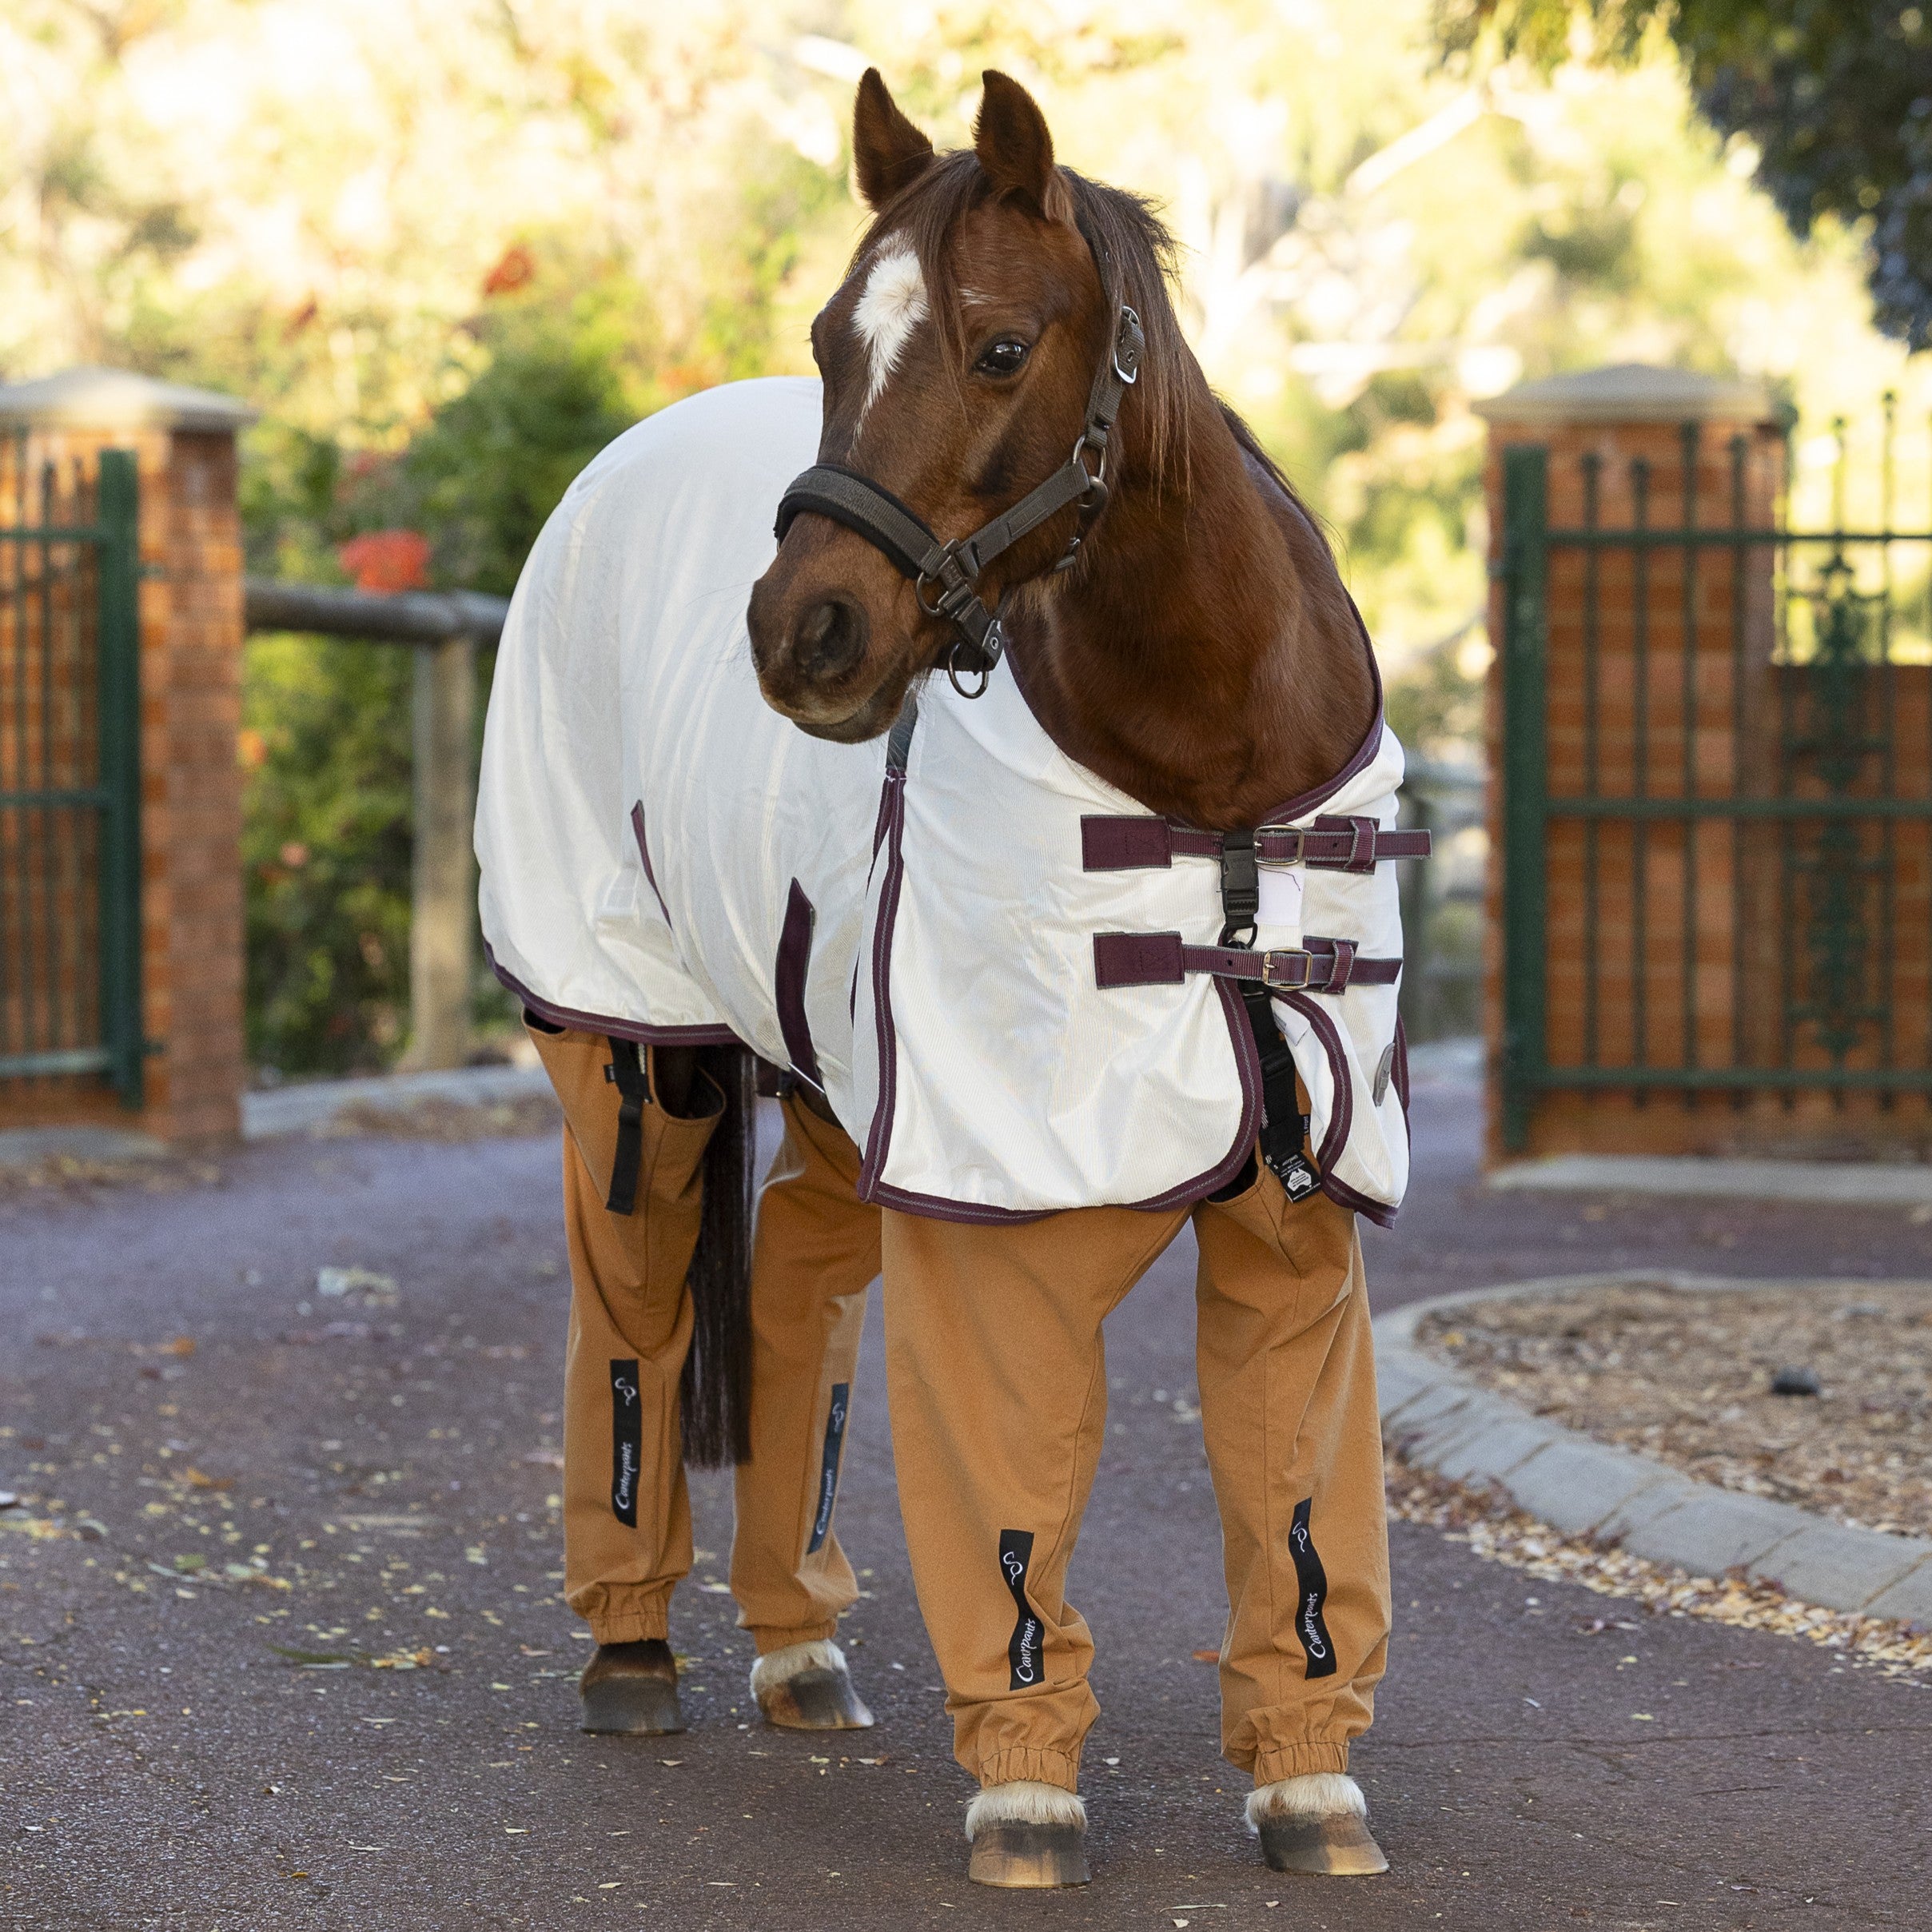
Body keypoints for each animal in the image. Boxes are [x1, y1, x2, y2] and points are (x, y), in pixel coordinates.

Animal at [477, 65, 1413, 1890]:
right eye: (833, 337)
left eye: (997, 344)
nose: (805, 635)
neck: (1213, 779)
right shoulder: (997, 1201)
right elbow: (1008, 1481)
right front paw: (1027, 1784)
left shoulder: (1297, 1199)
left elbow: (1298, 1492)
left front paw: (1309, 1781)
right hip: (637, 1051)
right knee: (635, 1297)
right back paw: (634, 1643)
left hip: (836, 1080)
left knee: (794, 1294)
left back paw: (795, 1639)